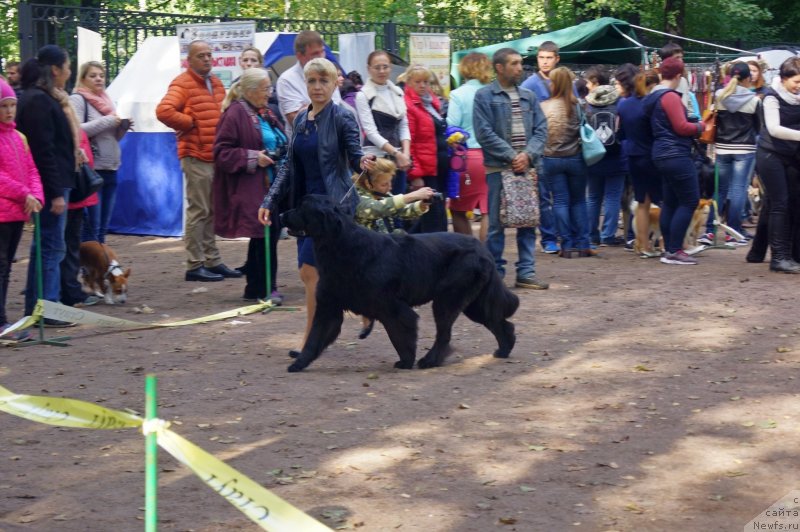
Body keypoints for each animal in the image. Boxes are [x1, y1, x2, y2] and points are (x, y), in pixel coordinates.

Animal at [278, 193, 520, 372]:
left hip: (448, 299)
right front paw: (298, 363)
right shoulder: (329, 307)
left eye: (301, 207)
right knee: (502, 323)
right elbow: (314, 339)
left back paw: (429, 361)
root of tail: (483, 250)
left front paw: (406, 361)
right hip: (474, 303)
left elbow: (399, 336)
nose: (281, 214)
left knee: (445, 334)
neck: (342, 247)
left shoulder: (392, 308)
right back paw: (503, 351)